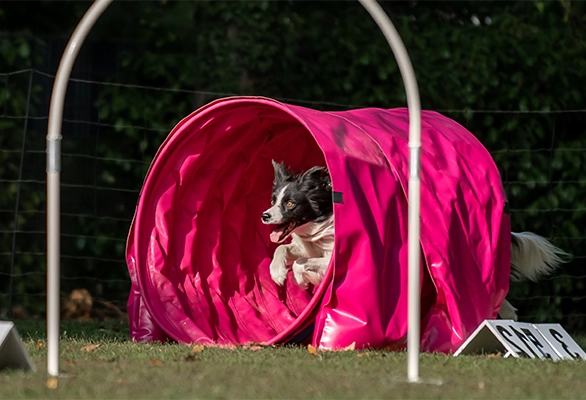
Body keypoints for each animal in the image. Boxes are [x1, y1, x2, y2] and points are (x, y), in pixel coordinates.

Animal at [260, 161, 564, 320]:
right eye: (274, 200)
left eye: (290, 203)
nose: (265, 215)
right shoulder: (303, 242)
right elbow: (284, 249)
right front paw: (277, 273)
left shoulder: (331, 257)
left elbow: (302, 262)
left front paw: (300, 280)